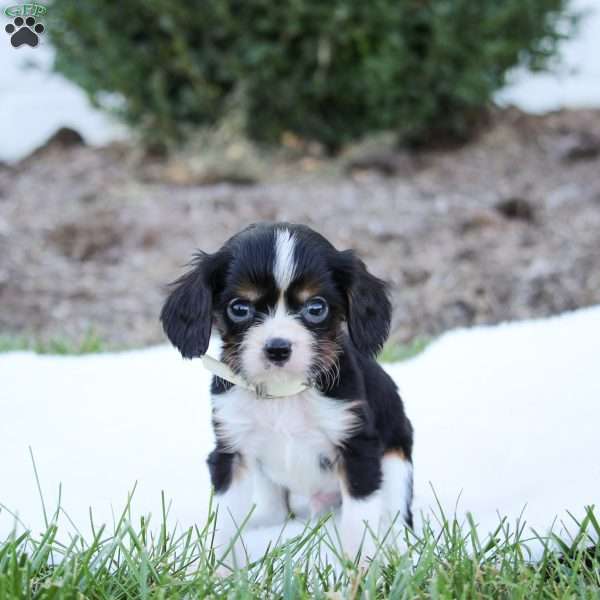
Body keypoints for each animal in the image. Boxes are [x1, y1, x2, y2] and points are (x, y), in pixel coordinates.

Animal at [159, 223, 412, 564]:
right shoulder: (232, 452)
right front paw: (224, 571)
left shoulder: (358, 451)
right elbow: (226, 527)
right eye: (239, 308)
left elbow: (358, 521)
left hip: (397, 459)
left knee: (395, 513)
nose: (277, 348)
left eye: (316, 308)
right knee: (278, 509)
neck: (283, 394)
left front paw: (358, 568)